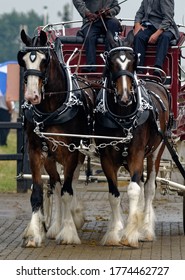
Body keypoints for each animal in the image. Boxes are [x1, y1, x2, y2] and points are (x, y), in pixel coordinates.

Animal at [17, 29, 94, 246]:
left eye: (44, 60)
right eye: (22, 60)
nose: (32, 96)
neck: (50, 111)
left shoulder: (71, 153)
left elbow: (68, 192)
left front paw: (68, 232)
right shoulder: (36, 152)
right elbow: (38, 192)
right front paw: (34, 233)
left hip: (78, 153)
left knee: (69, 184)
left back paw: (72, 218)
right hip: (52, 158)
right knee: (56, 184)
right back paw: (54, 226)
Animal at [94, 31, 171, 247]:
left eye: (132, 62)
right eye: (111, 62)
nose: (125, 96)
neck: (123, 116)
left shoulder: (136, 153)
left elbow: (134, 190)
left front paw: (130, 234)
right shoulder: (107, 157)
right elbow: (114, 194)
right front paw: (115, 232)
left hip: (155, 152)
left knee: (149, 188)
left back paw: (145, 229)